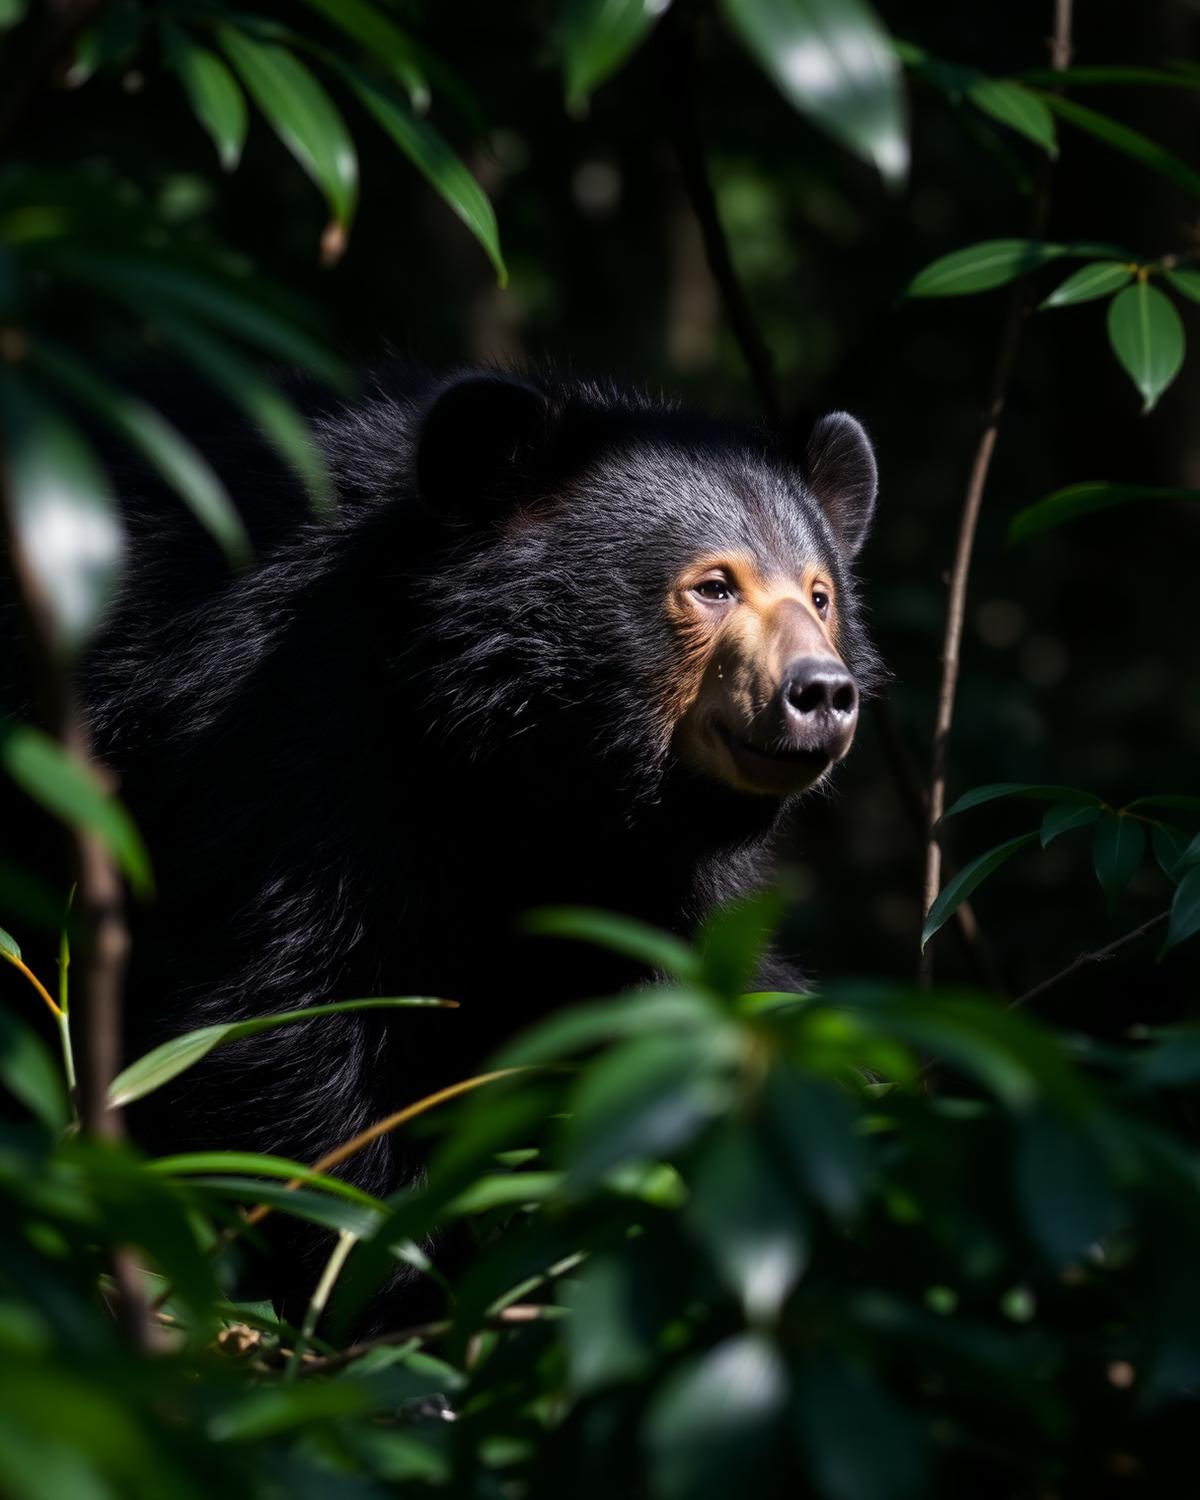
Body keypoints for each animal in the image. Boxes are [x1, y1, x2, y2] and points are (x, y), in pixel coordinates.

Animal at [74, 366, 883, 1315]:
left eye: (821, 595)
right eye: (714, 586)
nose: (821, 693)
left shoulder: (641, 864)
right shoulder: (281, 744)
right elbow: (271, 1019)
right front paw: (396, 1282)